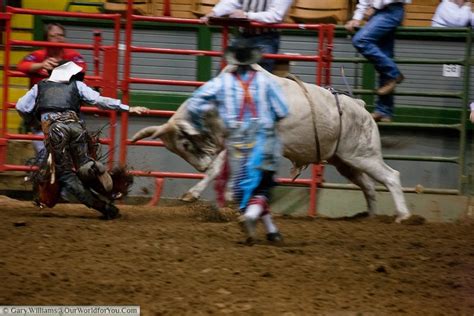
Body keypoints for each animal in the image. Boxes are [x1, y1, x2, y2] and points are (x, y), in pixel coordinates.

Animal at [133, 65, 412, 223]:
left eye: (186, 143)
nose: (200, 166)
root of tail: (360, 106)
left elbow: (220, 169)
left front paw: (198, 194)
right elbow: (225, 168)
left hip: (364, 154)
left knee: (391, 177)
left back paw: (403, 216)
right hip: (345, 161)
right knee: (369, 185)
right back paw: (370, 217)